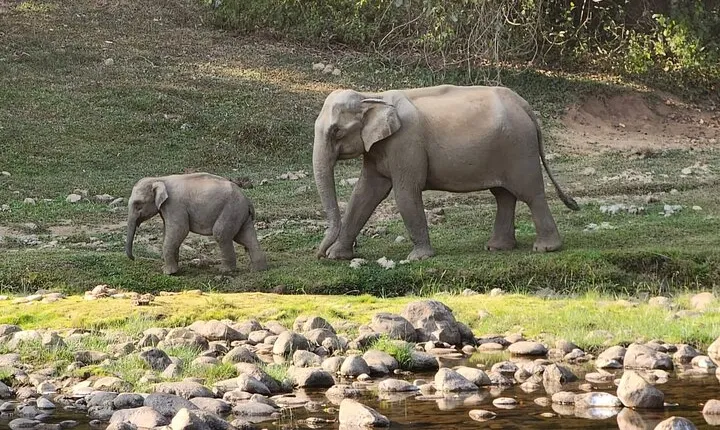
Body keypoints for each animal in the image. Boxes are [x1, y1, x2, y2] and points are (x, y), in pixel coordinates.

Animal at [125, 173, 267, 274]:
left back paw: (225, 271)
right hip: (239, 214)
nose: (134, 258)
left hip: (231, 210)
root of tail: (247, 200)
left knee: (221, 234)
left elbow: (180, 230)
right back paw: (258, 270)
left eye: (138, 204)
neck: (160, 179)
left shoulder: (174, 205)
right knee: (245, 237)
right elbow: (169, 231)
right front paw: (171, 269)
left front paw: (169, 273)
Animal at [312, 84, 579, 261]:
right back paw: (497, 247)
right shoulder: (378, 149)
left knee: (530, 193)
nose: (319, 254)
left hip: (519, 148)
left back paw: (545, 248)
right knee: (503, 195)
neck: (373, 96)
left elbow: (406, 193)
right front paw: (337, 256)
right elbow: (364, 194)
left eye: (336, 131)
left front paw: (418, 258)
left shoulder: (406, 143)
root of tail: (524, 105)